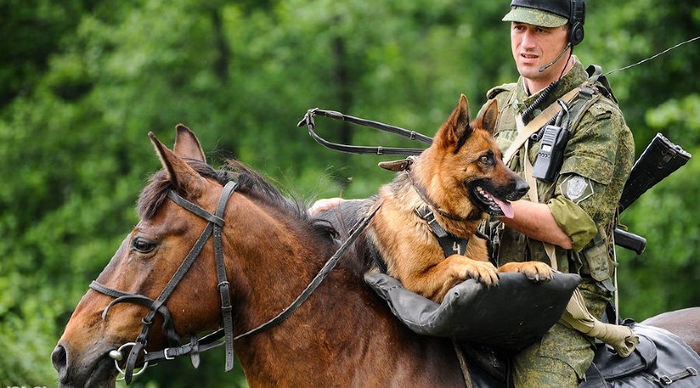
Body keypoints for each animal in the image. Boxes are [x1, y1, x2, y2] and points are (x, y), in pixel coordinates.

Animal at [370, 94, 556, 304]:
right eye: (484, 159)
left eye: (501, 158)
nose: (525, 188)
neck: (436, 215)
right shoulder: (413, 284)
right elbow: (454, 259)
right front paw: (477, 266)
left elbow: (503, 267)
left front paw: (528, 264)